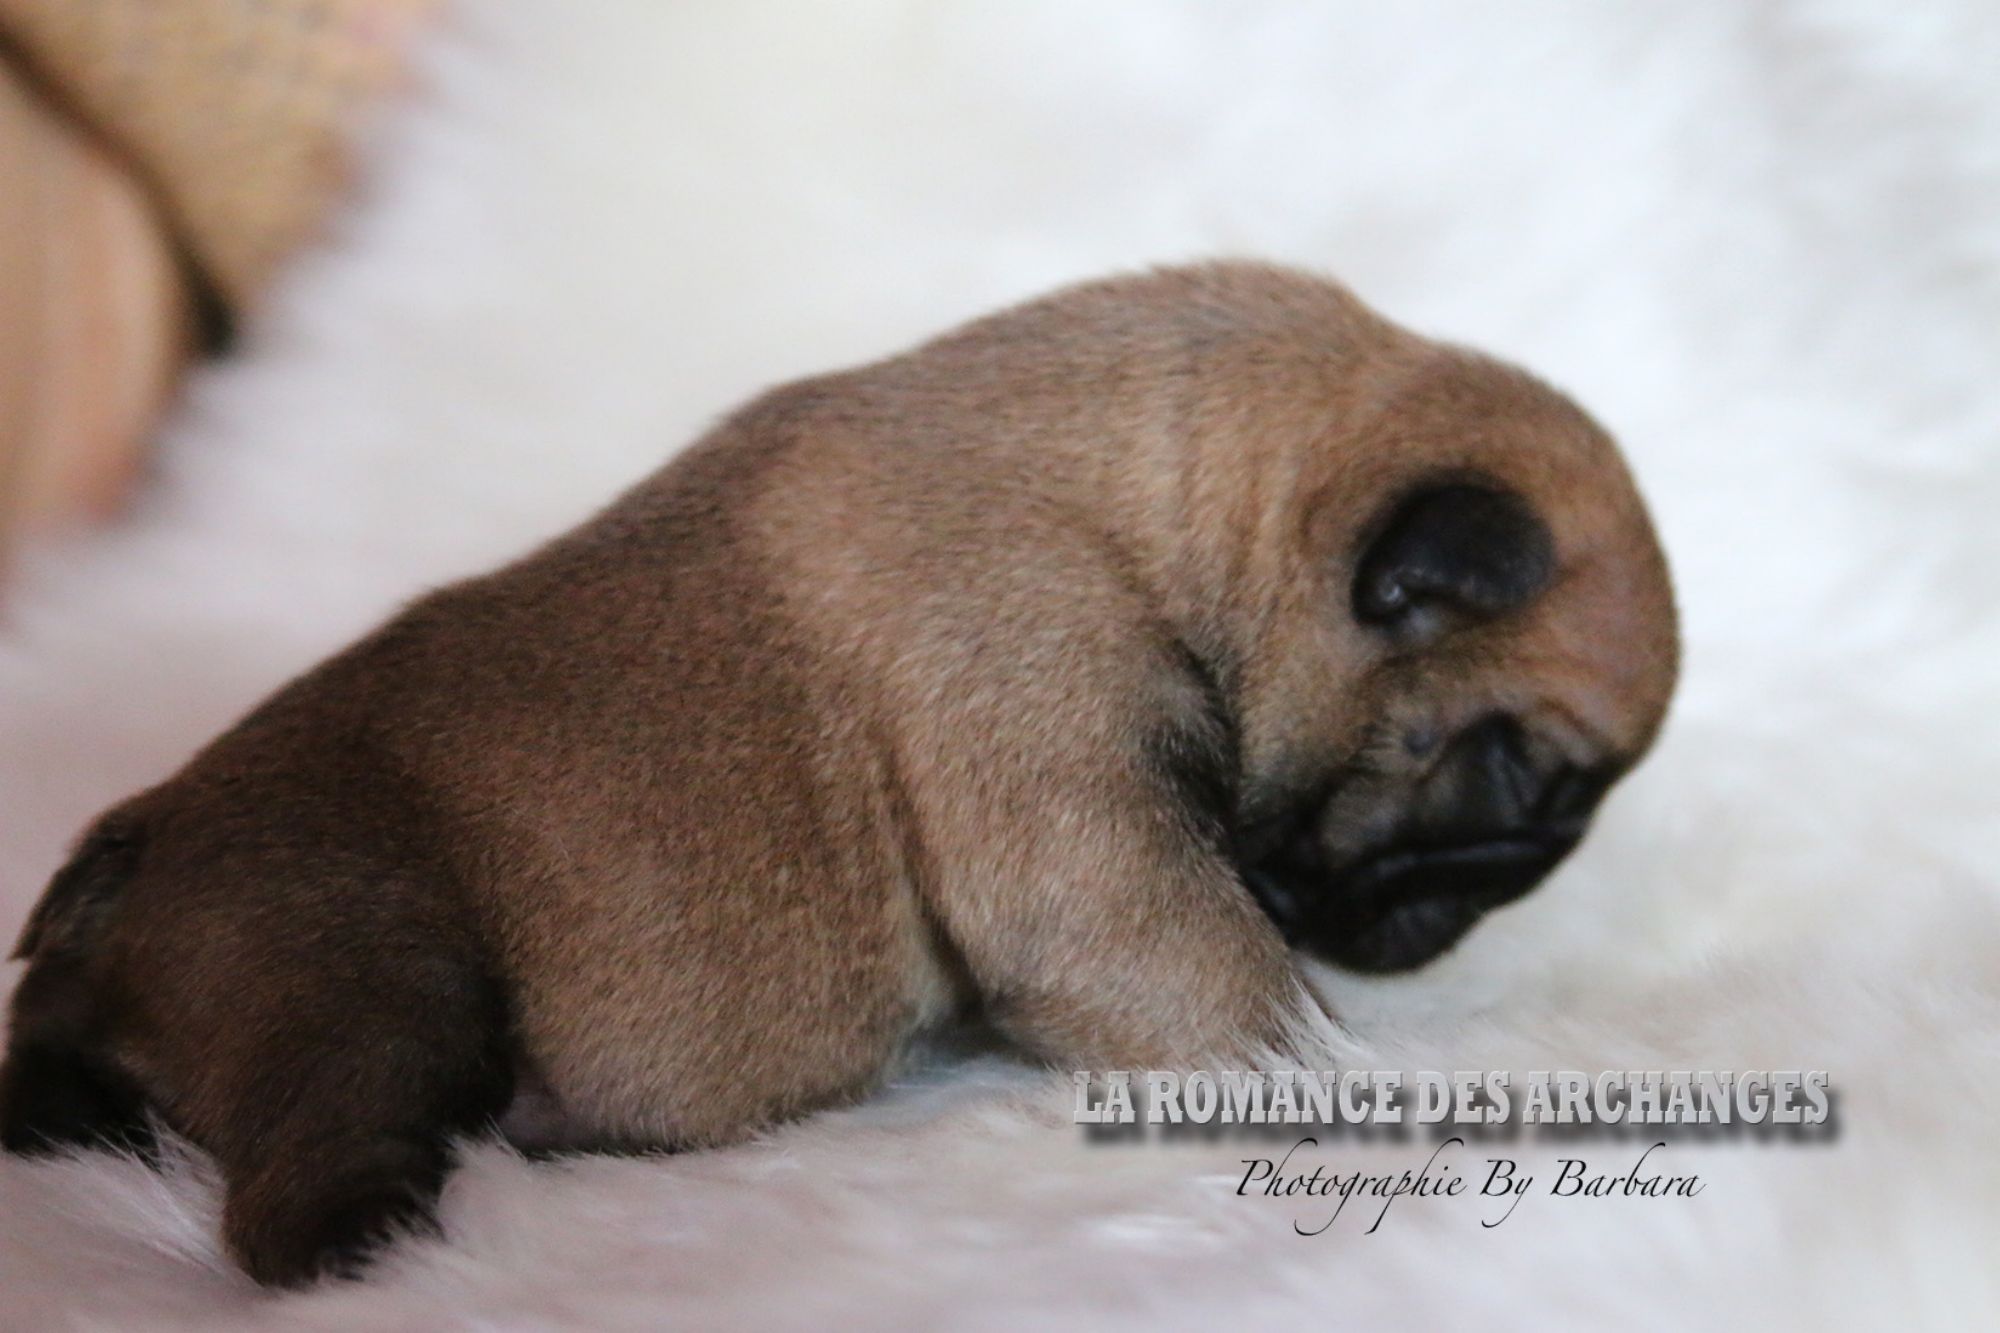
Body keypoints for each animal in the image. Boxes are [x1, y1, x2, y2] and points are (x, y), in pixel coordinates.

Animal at [0, 262, 1677, 1285]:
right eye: (1504, 773)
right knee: (315, 1155)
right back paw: (391, 1239)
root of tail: (131, 862)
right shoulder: (1089, 839)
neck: (1180, 499)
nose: (1448, 924)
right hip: (366, 964)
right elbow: (1230, 987)